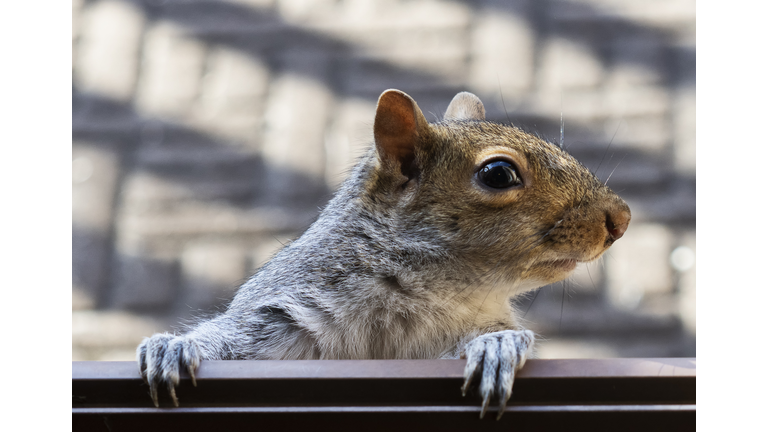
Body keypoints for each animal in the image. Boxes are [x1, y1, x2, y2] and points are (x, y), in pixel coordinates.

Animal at [137, 89, 631, 420]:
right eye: (498, 174)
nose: (621, 218)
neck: (420, 290)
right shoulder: (279, 316)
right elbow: (230, 341)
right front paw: (174, 347)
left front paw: (498, 347)